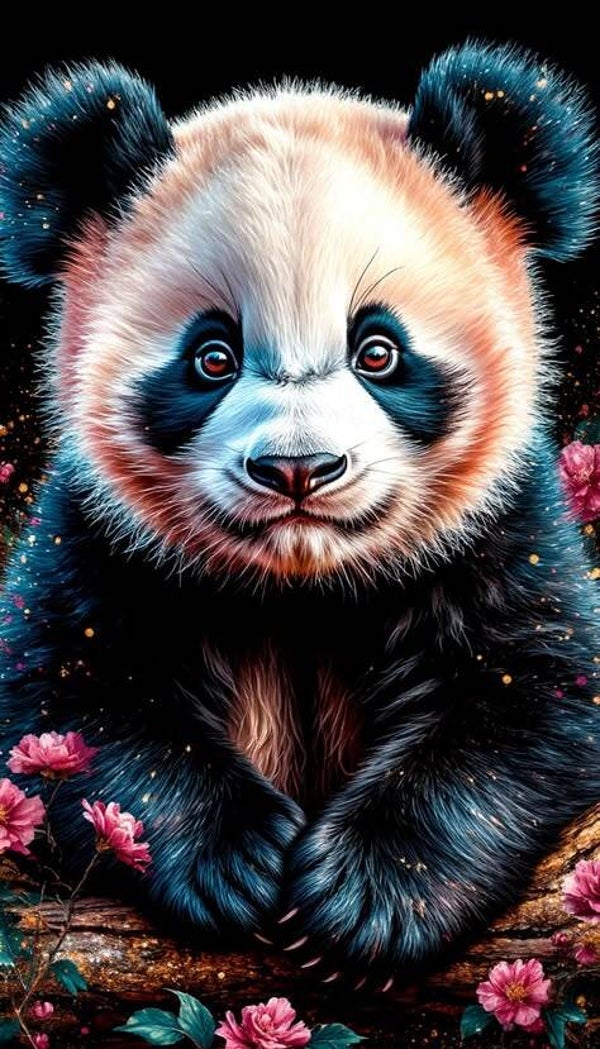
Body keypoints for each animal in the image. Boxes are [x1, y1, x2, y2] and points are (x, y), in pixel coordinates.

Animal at [0, 42, 599, 990]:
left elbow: (530, 697)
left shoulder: (502, 529)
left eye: (378, 350)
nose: (297, 469)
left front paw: (364, 897)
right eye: (211, 356)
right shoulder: (98, 535)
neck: (301, 586)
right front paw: (234, 855)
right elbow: (66, 700)